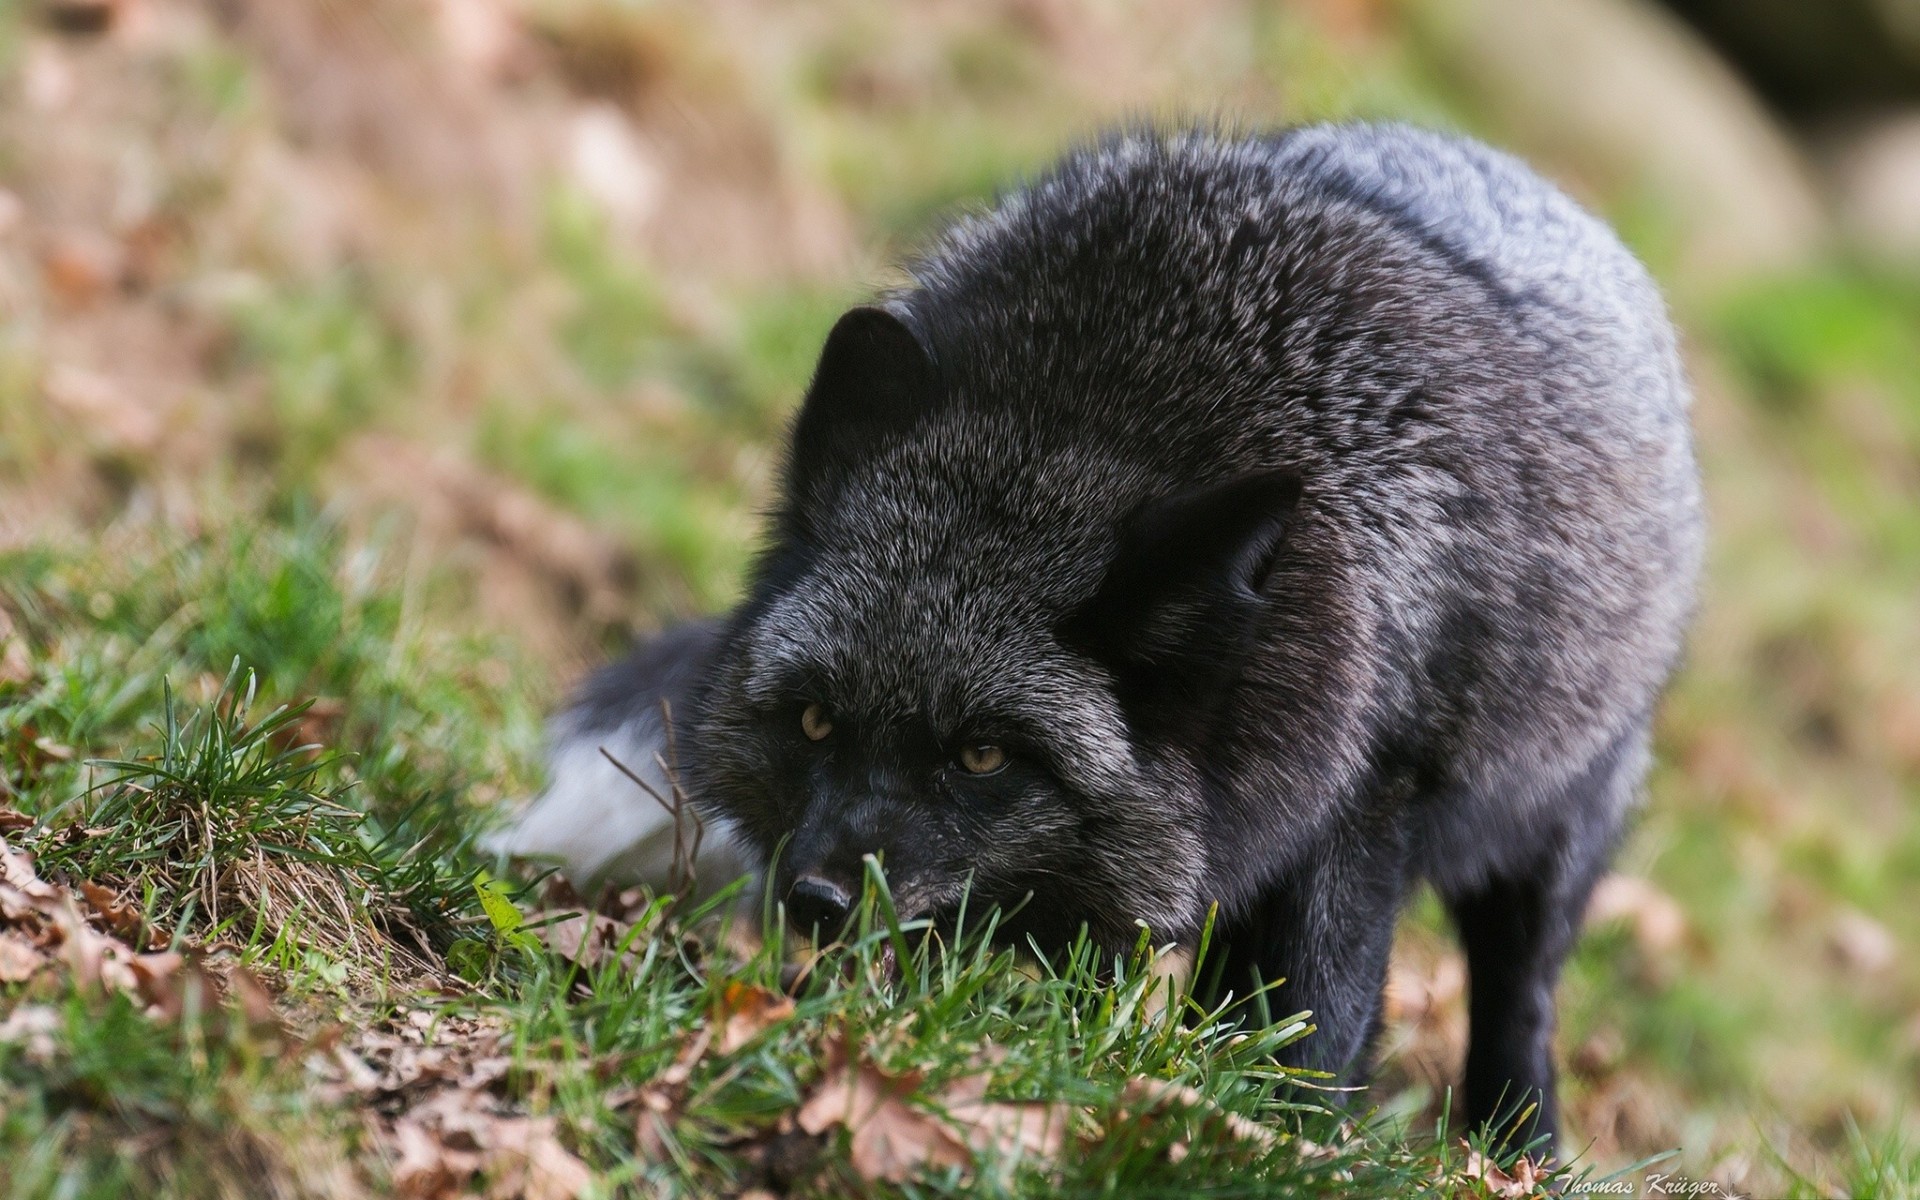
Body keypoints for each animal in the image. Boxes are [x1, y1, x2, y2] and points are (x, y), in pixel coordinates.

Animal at [494, 122, 1704, 1149]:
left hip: (1557, 833)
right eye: (815, 721)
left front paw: (1281, 1139)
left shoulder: (1366, 805)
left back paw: (1517, 1145)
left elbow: (1319, 1021)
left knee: (1520, 1003)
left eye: (983, 753)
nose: (815, 902)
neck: (1095, 416)